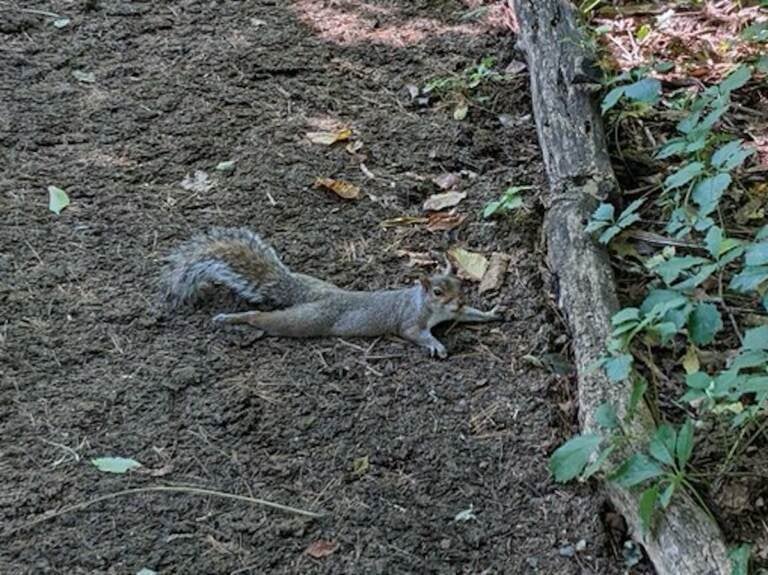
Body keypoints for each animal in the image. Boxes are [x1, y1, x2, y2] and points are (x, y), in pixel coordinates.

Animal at [164, 228, 500, 356]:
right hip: (304, 320)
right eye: (438, 292)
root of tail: (311, 296)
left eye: (461, 284)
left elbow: (470, 316)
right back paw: (234, 318)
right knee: (264, 318)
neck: (429, 307)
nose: (460, 300)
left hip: (314, 287)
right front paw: (436, 345)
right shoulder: (410, 319)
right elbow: (414, 333)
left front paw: (491, 313)